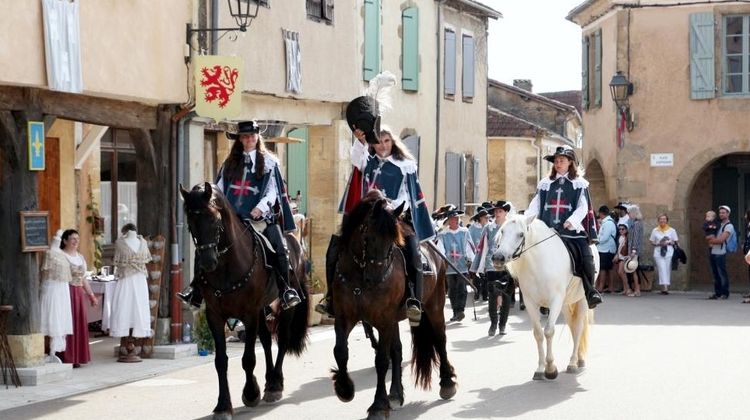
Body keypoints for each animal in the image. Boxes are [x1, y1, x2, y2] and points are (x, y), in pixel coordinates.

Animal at [181, 182, 310, 418]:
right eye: (190, 222)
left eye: (214, 219)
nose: (207, 262)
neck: (227, 266)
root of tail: (294, 241)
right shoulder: (214, 315)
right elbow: (221, 361)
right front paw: (223, 405)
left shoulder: (248, 314)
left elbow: (248, 358)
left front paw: (250, 393)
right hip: (262, 308)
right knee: (267, 341)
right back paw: (268, 382)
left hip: (285, 307)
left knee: (282, 341)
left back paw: (275, 384)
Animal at [494, 215, 600, 378]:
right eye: (502, 231)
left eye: (521, 234)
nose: (498, 258)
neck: (538, 264)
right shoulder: (531, 303)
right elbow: (538, 333)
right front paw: (540, 368)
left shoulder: (555, 301)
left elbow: (549, 331)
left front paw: (550, 368)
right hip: (566, 303)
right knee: (572, 326)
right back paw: (579, 359)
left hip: (581, 300)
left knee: (578, 327)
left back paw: (573, 362)